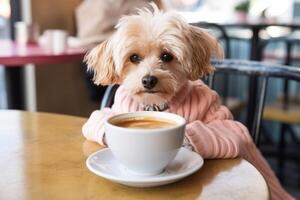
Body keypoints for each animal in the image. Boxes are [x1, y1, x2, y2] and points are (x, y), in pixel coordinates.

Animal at [82, 3, 292, 200]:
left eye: (167, 56)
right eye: (134, 58)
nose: (149, 80)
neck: (156, 105)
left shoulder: (221, 116)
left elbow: (232, 130)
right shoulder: (113, 109)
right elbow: (96, 118)